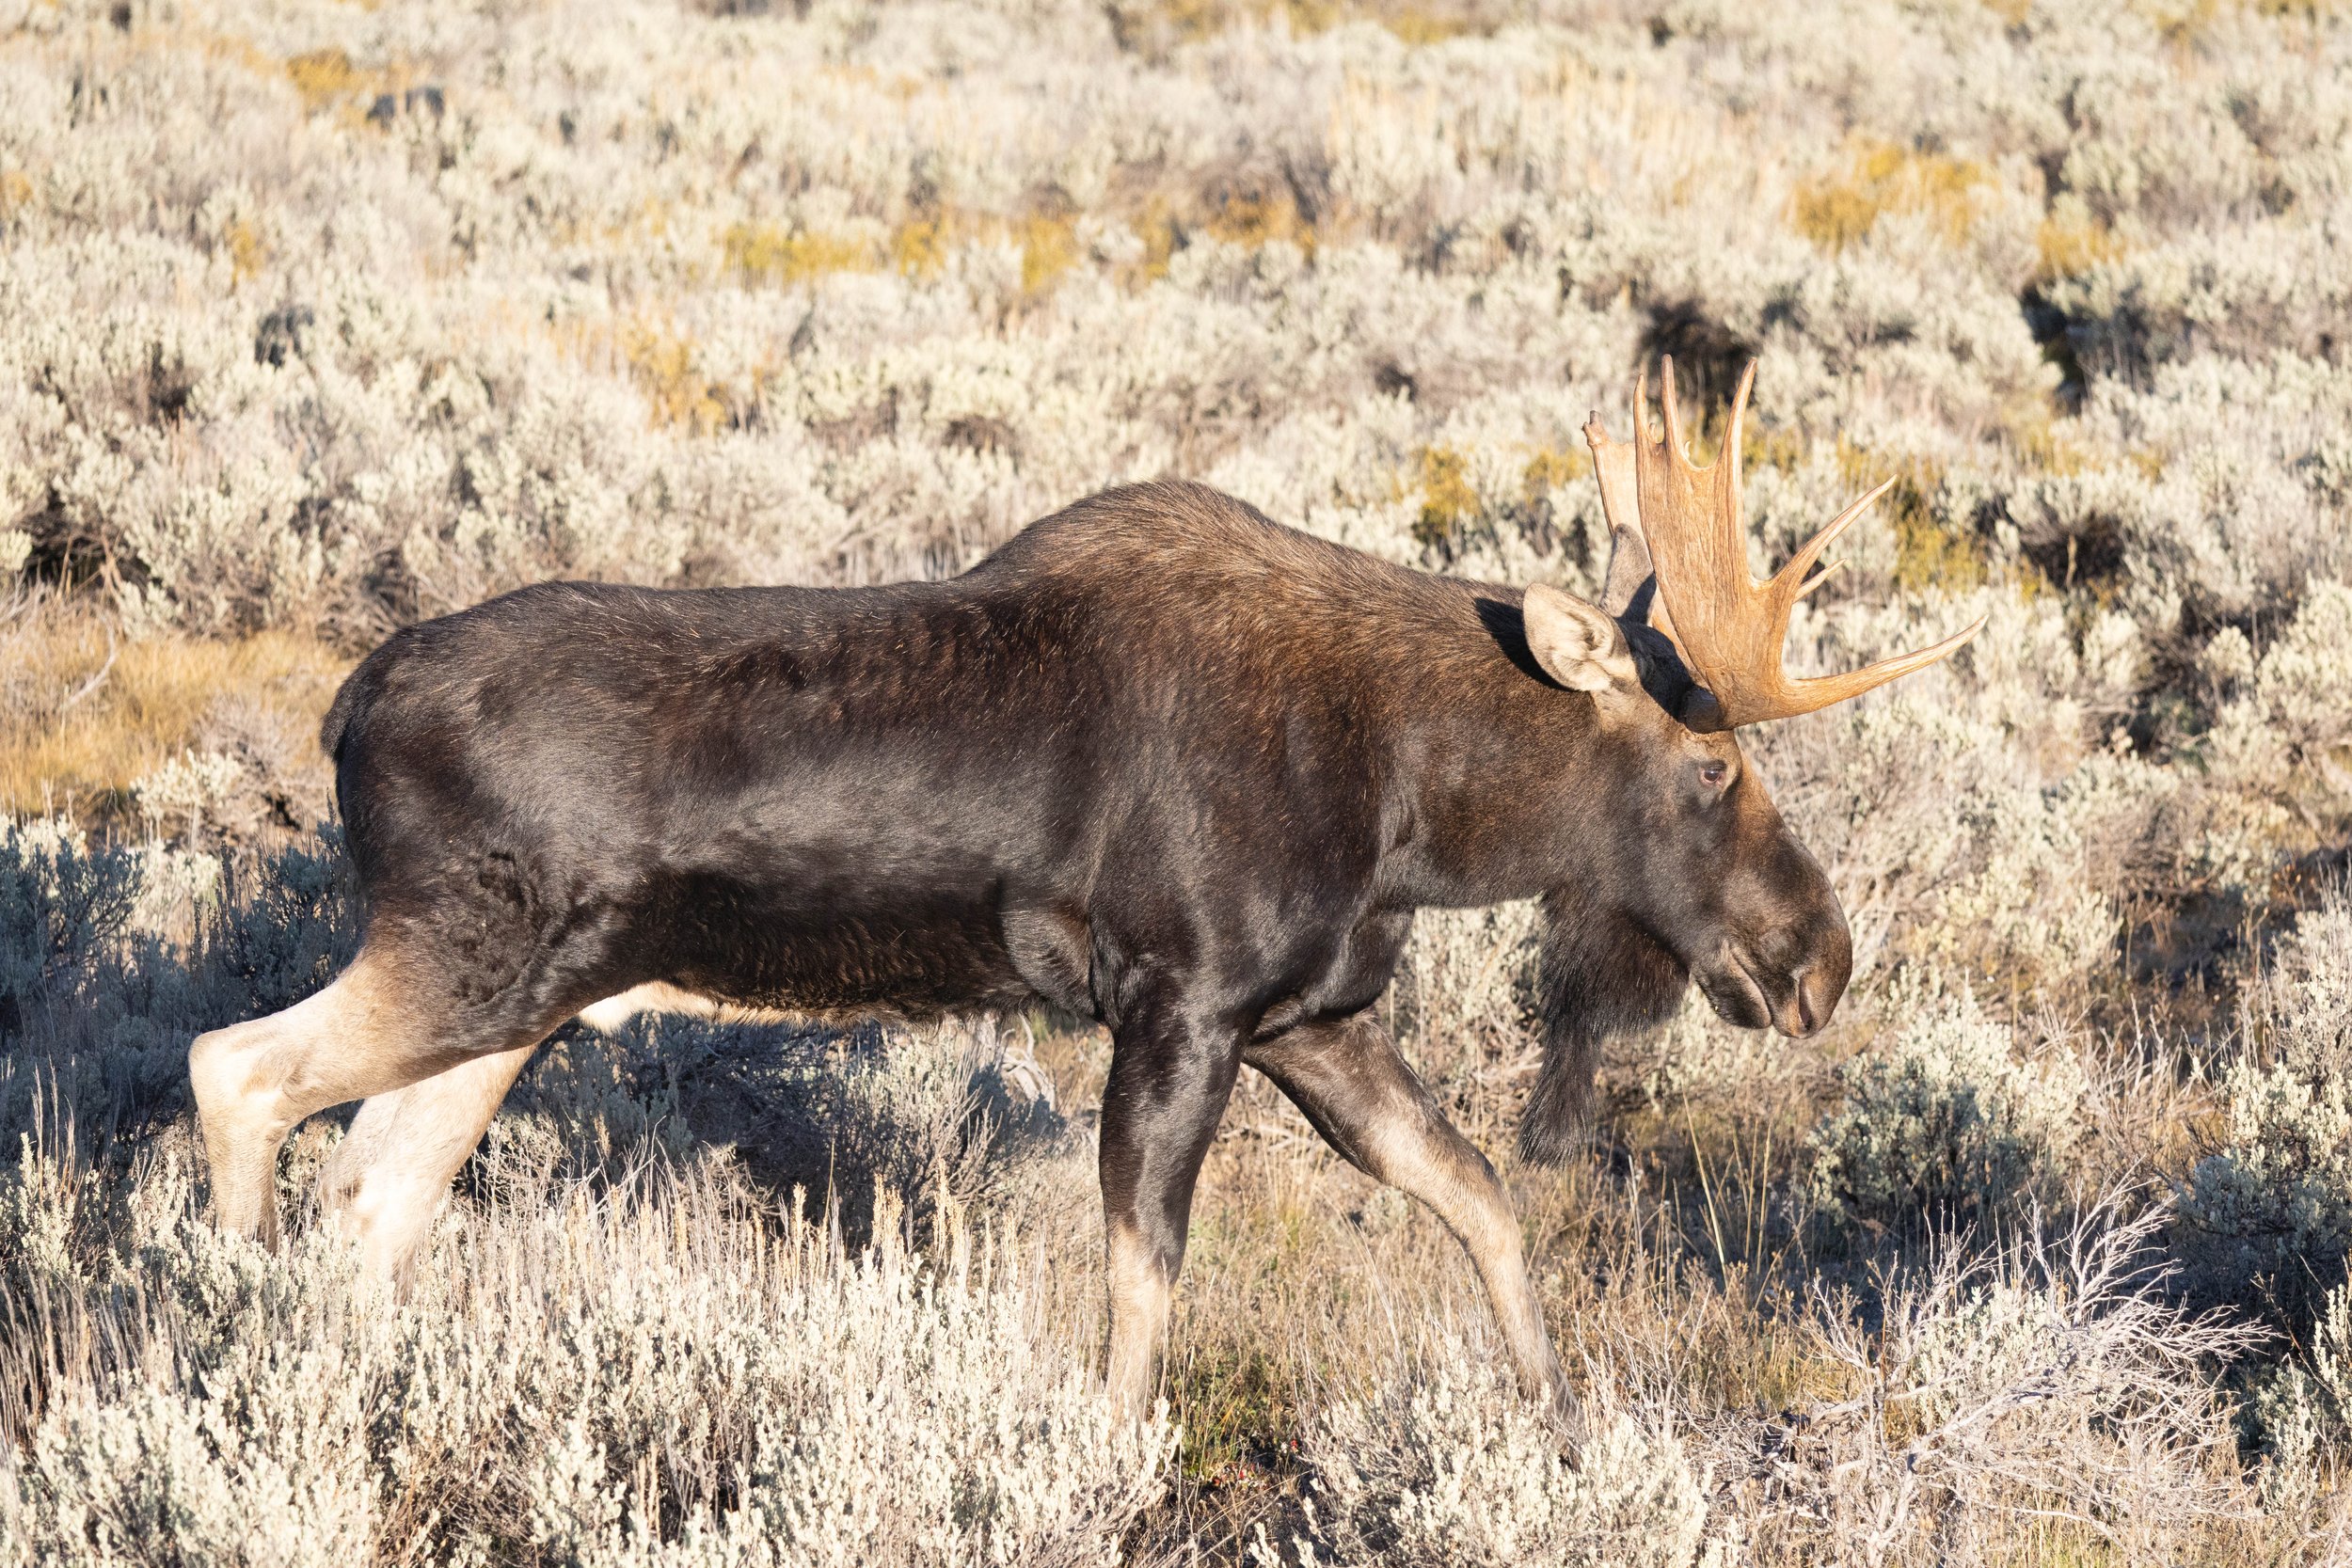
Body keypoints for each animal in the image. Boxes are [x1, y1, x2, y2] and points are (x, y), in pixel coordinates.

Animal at [188, 358, 1981, 1426]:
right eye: (1713, 768)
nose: (1817, 960)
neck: (1413, 801)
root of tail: (346, 707)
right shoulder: (1180, 1000)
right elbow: (1144, 1269)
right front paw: (1112, 1456)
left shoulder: (1311, 1011)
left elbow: (1478, 1194)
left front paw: (1546, 1413)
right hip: (462, 954)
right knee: (238, 1069)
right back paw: (226, 1327)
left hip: (514, 1000)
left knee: (372, 1193)